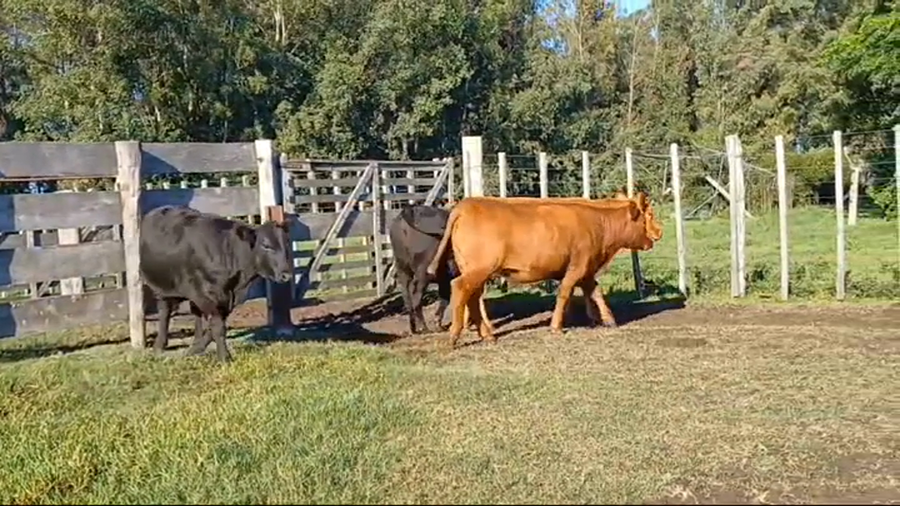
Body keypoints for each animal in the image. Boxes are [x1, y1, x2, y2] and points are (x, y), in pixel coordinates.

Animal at [140, 205, 293, 362]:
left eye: (286, 244)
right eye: (266, 245)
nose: (286, 275)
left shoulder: (226, 298)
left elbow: (214, 326)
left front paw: (197, 348)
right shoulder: (209, 295)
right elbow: (218, 328)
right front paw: (224, 358)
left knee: (196, 314)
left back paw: (195, 342)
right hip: (161, 287)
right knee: (164, 312)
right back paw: (159, 345)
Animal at [426, 192, 662, 348]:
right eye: (649, 214)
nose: (659, 232)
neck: (598, 221)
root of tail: (466, 204)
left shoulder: (586, 270)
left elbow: (595, 292)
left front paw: (607, 320)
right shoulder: (577, 267)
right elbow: (565, 293)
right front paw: (556, 326)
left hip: (475, 271)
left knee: (473, 297)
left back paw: (488, 336)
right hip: (478, 270)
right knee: (460, 288)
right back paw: (454, 336)